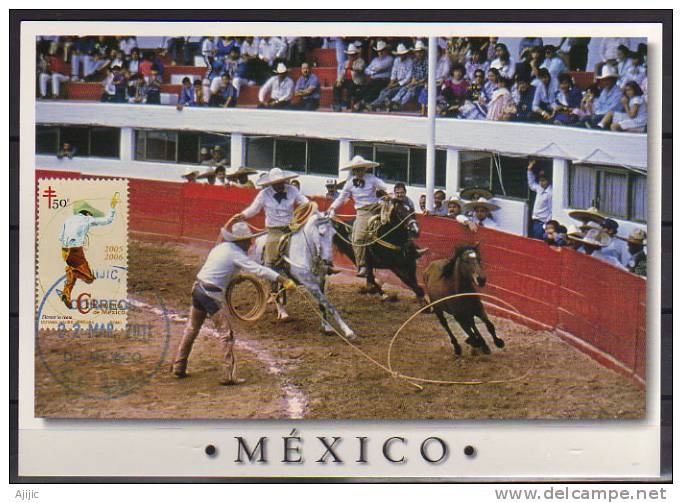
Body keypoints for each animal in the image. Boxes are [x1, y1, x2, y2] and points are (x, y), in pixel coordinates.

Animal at [250, 209, 356, 342]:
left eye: (333, 234)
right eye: (321, 233)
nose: (328, 260)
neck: (306, 254)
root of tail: (259, 240)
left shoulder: (321, 281)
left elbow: (322, 304)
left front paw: (326, 327)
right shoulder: (310, 284)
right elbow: (328, 304)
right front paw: (348, 332)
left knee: (278, 290)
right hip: (271, 274)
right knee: (274, 292)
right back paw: (283, 313)